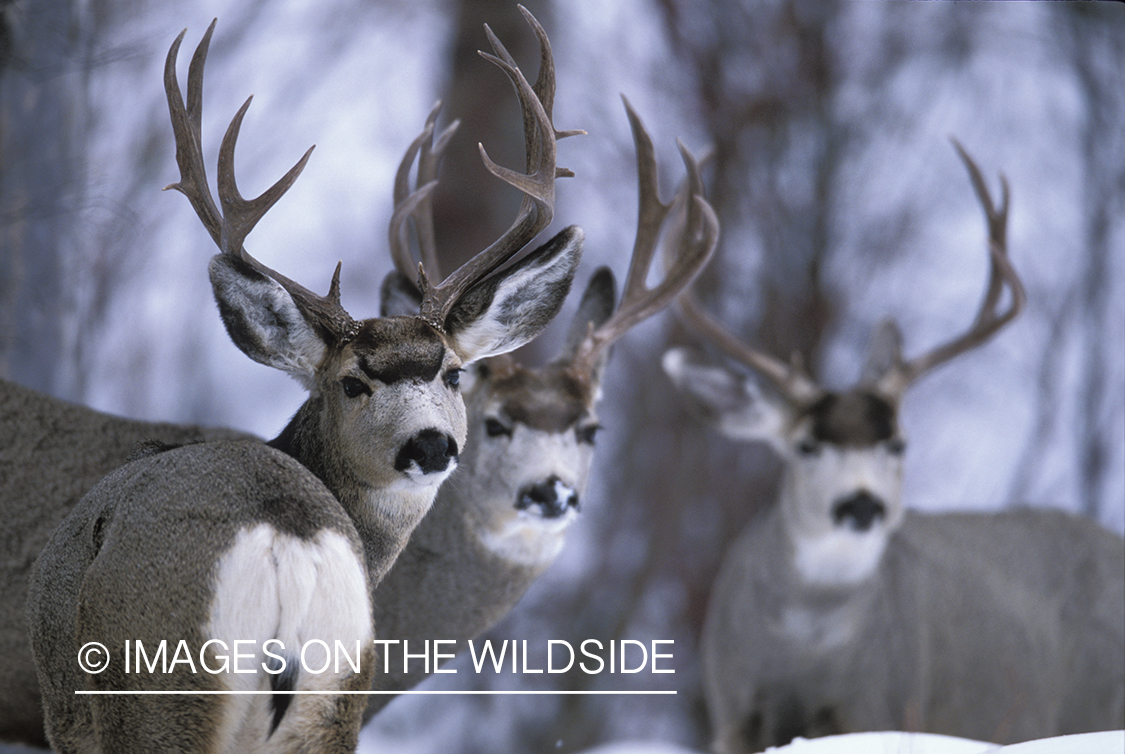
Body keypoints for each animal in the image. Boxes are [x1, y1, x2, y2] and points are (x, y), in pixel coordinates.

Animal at [26, 12, 583, 752]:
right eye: (351, 383)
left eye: (453, 372)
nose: (432, 445)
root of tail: (283, 542)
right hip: (334, 694)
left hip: (160, 691)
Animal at [662, 143, 1125, 752]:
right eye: (806, 445)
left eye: (898, 444)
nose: (862, 503)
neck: (804, 654)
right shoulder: (732, 711)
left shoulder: (882, 703)